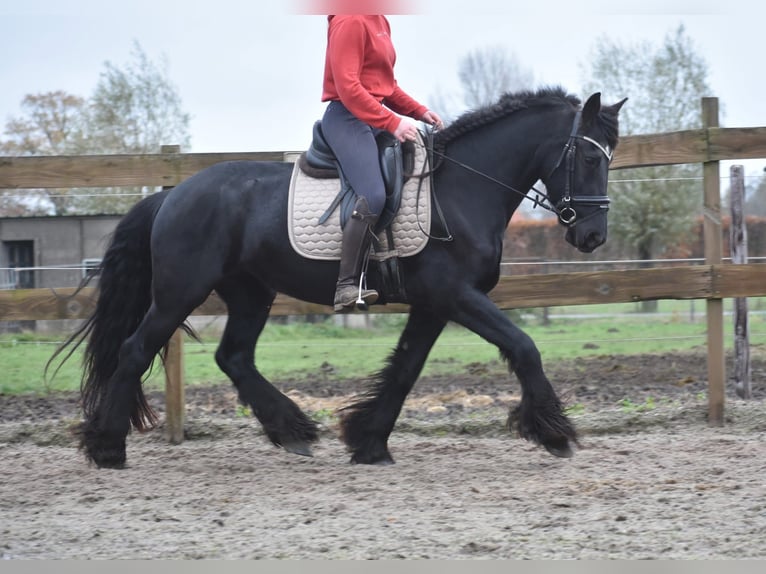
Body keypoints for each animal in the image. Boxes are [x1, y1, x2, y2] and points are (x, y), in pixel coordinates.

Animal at [52, 86, 626, 469]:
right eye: (585, 156)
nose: (593, 236)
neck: (462, 189)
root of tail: (172, 194)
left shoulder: (434, 303)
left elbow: (405, 369)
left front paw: (369, 441)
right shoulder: (455, 295)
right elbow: (523, 346)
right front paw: (554, 433)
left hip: (250, 293)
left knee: (233, 357)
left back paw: (293, 431)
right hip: (179, 292)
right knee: (134, 351)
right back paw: (107, 448)